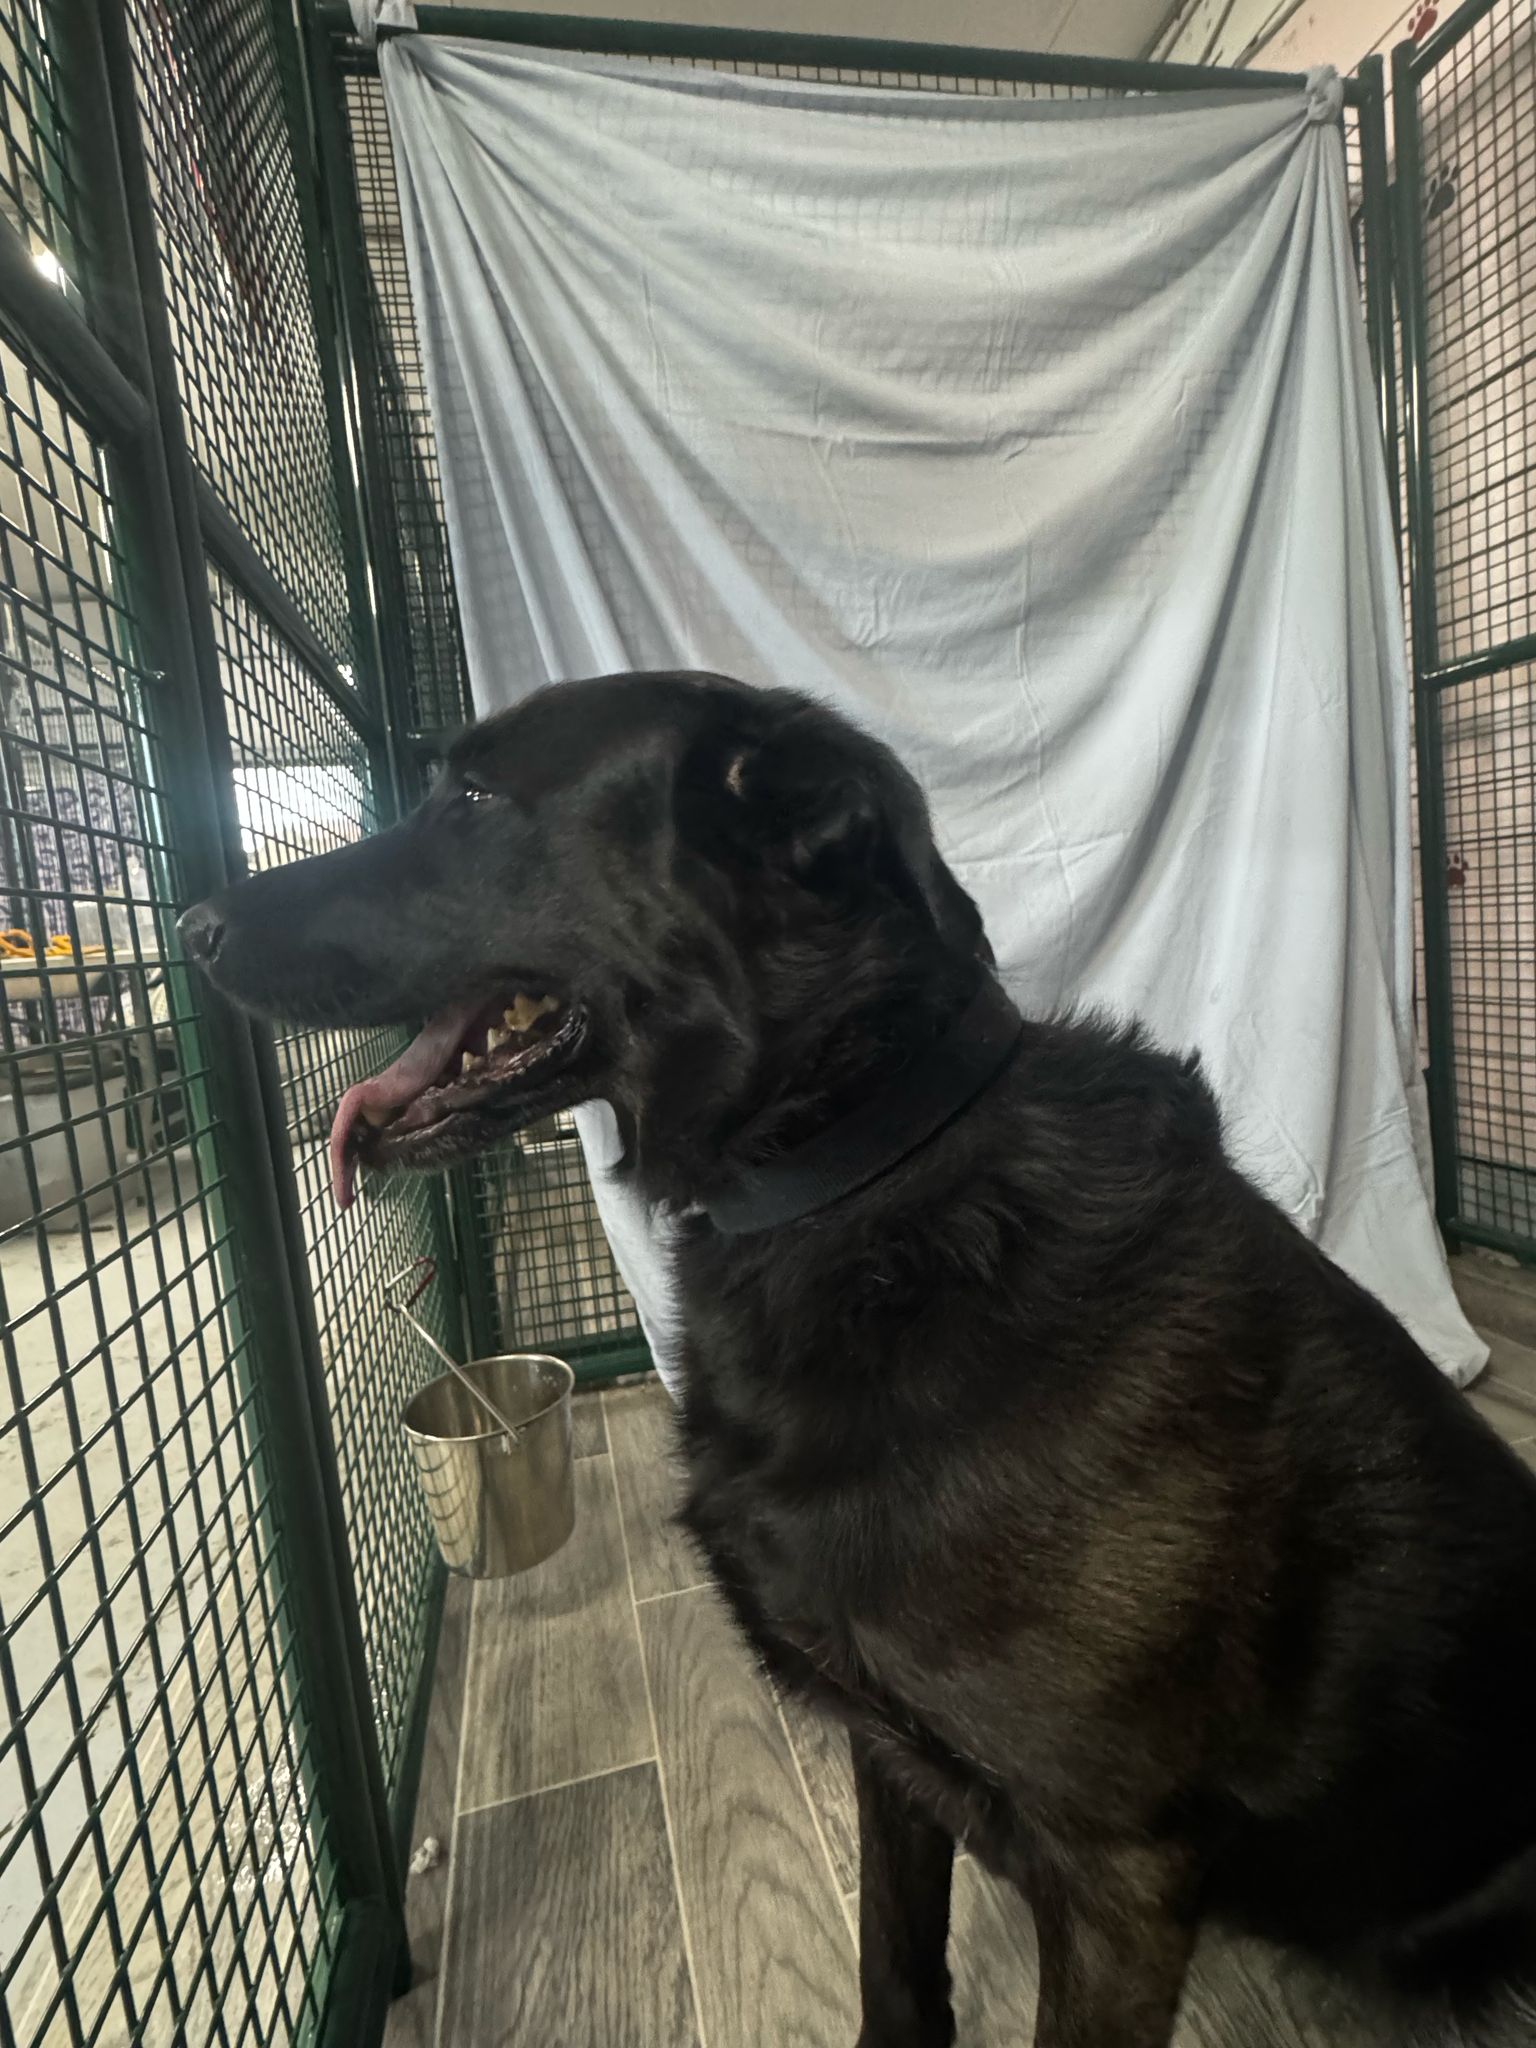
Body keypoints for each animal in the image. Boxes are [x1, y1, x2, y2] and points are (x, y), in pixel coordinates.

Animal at [182, 671, 1536, 2047]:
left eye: (468, 795)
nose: (187, 925)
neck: (856, 1172)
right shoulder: (889, 1748)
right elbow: (894, 1955)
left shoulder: (1119, 1871)